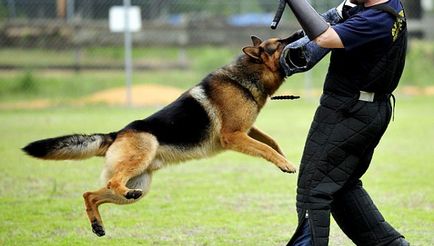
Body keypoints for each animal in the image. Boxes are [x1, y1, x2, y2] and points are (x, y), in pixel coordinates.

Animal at [22, 34, 298, 236]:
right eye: (278, 43)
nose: (297, 33)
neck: (245, 76)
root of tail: (116, 134)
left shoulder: (247, 130)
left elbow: (271, 142)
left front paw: (285, 159)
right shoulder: (234, 135)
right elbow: (265, 148)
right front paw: (285, 164)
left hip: (140, 183)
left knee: (90, 194)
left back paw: (98, 225)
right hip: (142, 155)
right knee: (111, 184)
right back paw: (116, 200)